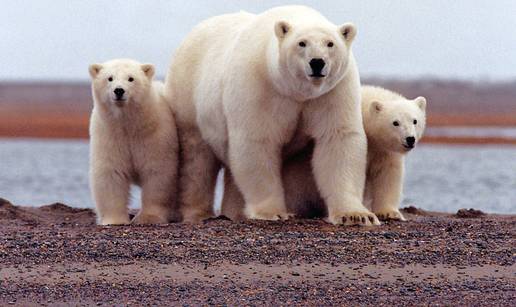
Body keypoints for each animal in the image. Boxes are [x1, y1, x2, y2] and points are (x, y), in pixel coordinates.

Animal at [87, 58, 178, 226]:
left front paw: (148, 218)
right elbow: (111, 173)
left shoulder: (155, 136)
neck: (129, 125)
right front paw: (114, 220)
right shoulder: (109, 135)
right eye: (110, 78)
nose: (119, 91)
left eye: (131, 78)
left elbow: (157, 172)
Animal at [165, 4, 378, 226]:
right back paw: (198, 213)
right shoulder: (260, 85)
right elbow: (257, 141)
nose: (317, 62)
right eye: (302, 43)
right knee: (197, 160)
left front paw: (356, 215)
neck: (296, 92)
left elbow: (338, 138)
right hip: (188, 97)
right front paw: (273, 212)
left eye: (330, 43)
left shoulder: (332, 91)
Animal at [222, 85, 428, 223]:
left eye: (415, 121)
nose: (410, 139)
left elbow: (387, 175)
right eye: (395, 122)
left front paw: (389, 212)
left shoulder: (384, 151)